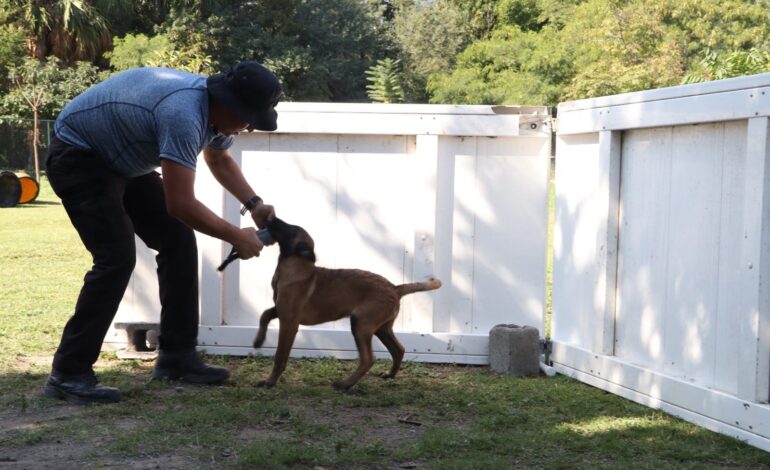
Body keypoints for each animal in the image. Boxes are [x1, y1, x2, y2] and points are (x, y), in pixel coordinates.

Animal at [254, 218, 440, 392]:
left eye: (291, 229)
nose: (271, 218)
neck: (295, 264)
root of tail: (394, 288)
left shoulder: (289, 322)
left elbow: (280, 356)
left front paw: (270, 381)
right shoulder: (280, 310)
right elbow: (264, 314)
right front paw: (258, 340)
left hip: (361, 325)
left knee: (368, 359)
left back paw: (345, 384)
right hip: (382, 328)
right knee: (398, 349)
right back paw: (390, 374)